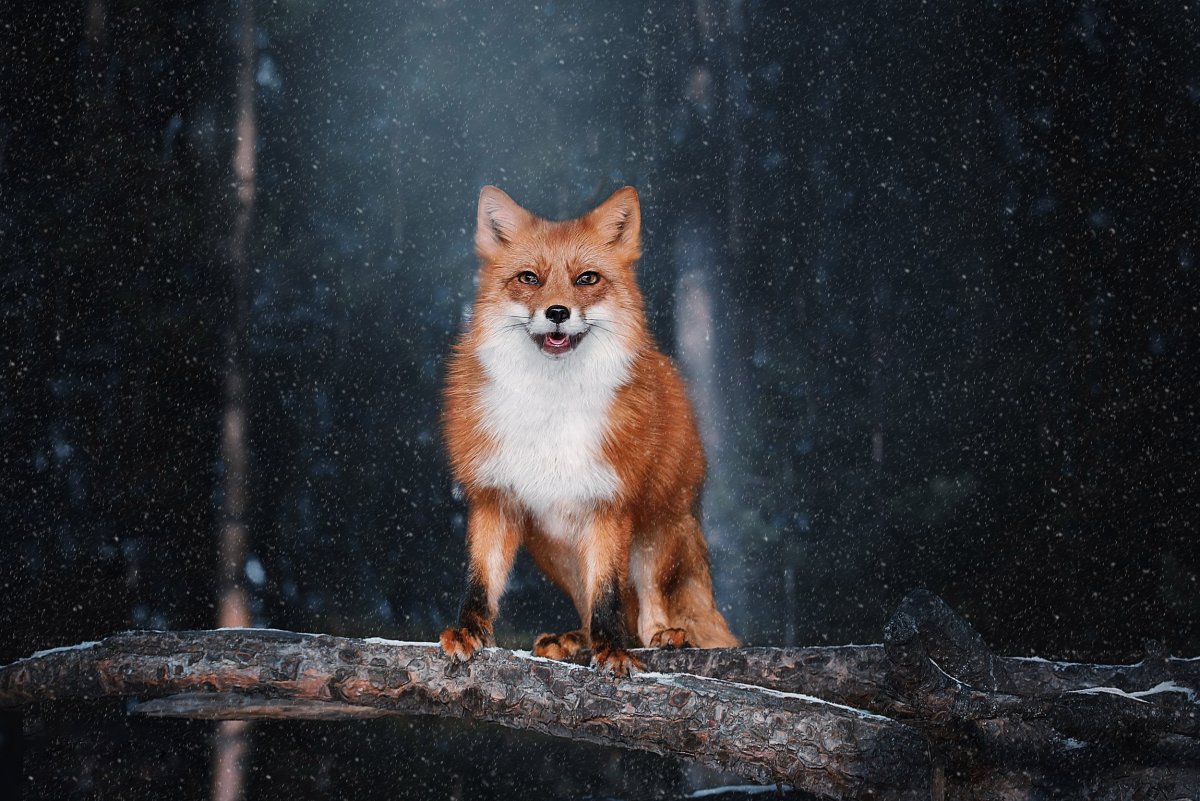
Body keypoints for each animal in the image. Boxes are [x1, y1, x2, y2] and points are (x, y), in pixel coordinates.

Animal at [438, 185, 738, 676]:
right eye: (529, 278)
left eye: (587, 279)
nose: (557, 312)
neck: (551, 408)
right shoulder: (494, 497)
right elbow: (480, 582)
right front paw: (469, 632)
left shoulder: (609, 501)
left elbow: (608, 596)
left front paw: (611, 650)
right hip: (553, 549)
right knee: (590, 603)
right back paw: (575, 639)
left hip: (657, 529)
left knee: (646, 607)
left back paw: (663, 637)